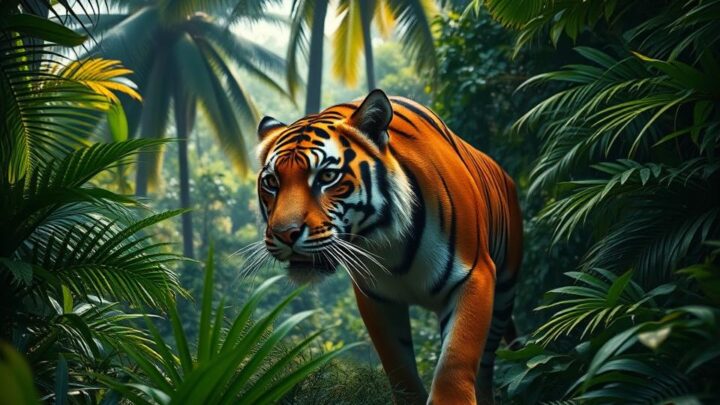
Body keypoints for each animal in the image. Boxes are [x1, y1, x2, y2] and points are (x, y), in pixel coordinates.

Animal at [255, 89, 523, 405]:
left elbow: (456, 360)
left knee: (486, 364)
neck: (390, 244)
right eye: (272, 182)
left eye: (326, 177)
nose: (285, 233)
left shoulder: (475, 275)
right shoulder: (376, 297)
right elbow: (399, 367)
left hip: (504, 293)